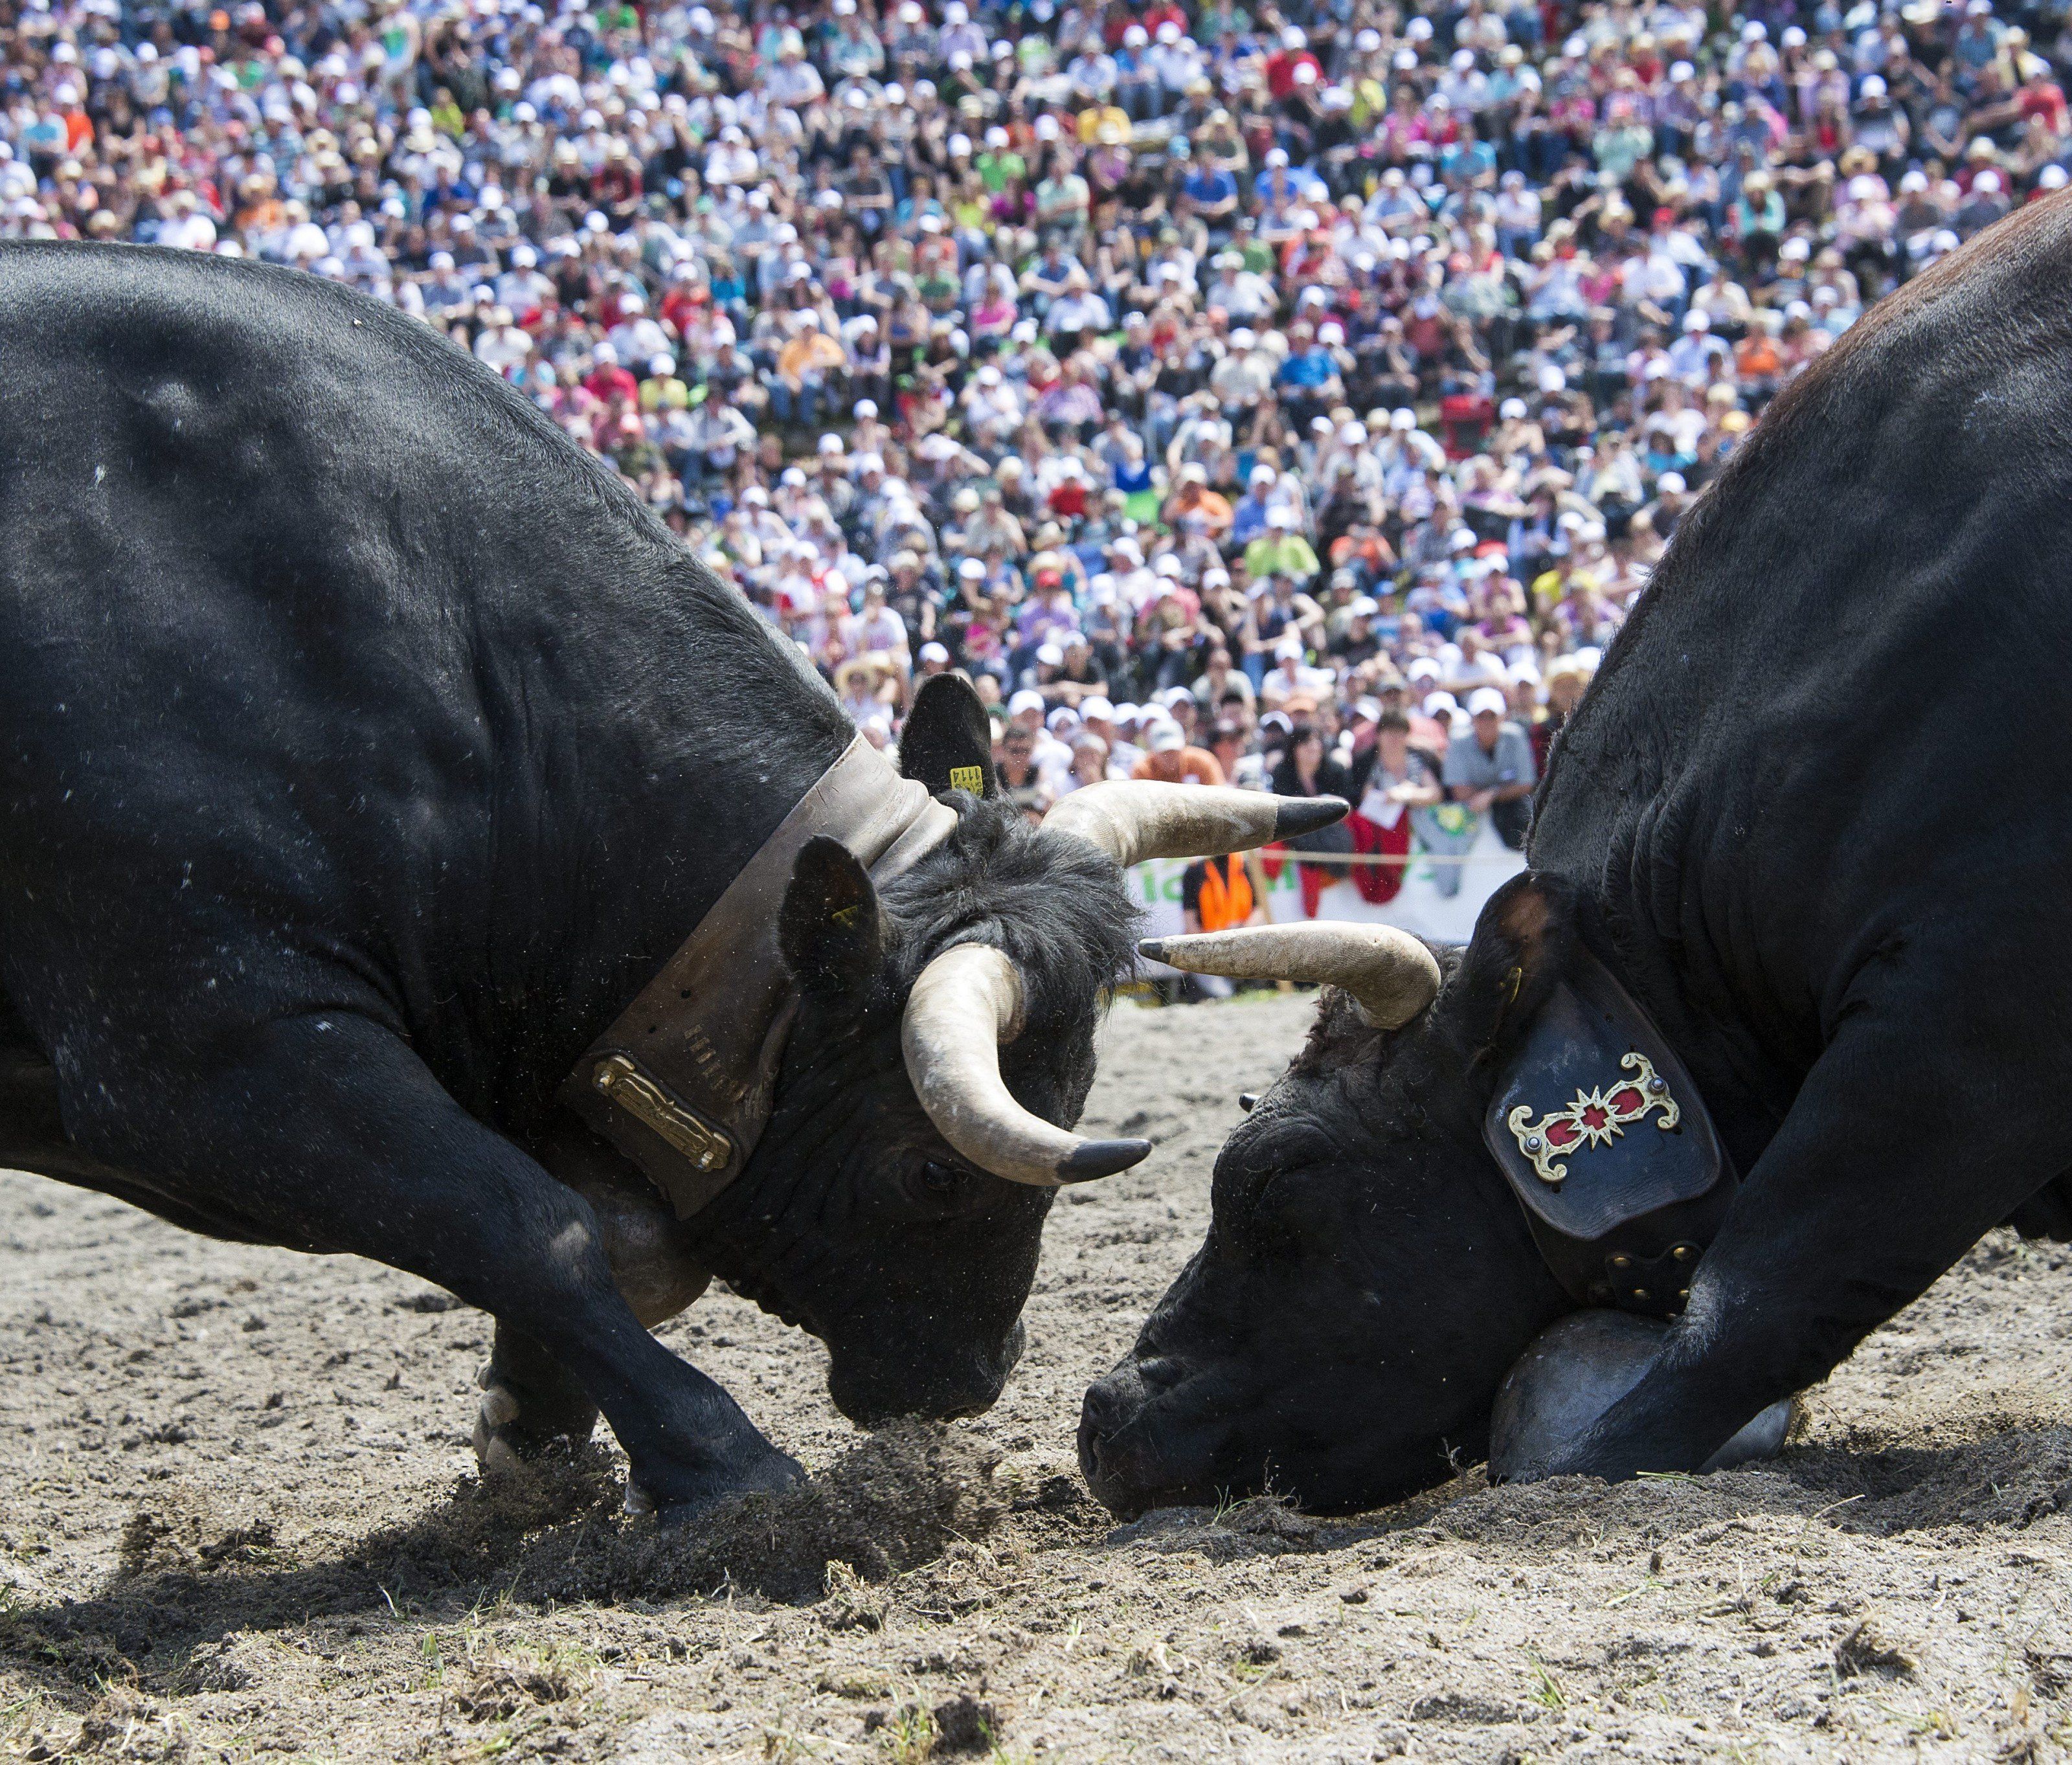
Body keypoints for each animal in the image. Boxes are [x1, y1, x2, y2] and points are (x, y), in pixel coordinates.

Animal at [0, 244, 1326, 1516]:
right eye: (932, 1168)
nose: (975, 1377)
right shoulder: (206, 1045)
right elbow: (528, 1221)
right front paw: (717, 1462)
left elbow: (621, 1239)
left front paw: (533, 1430)